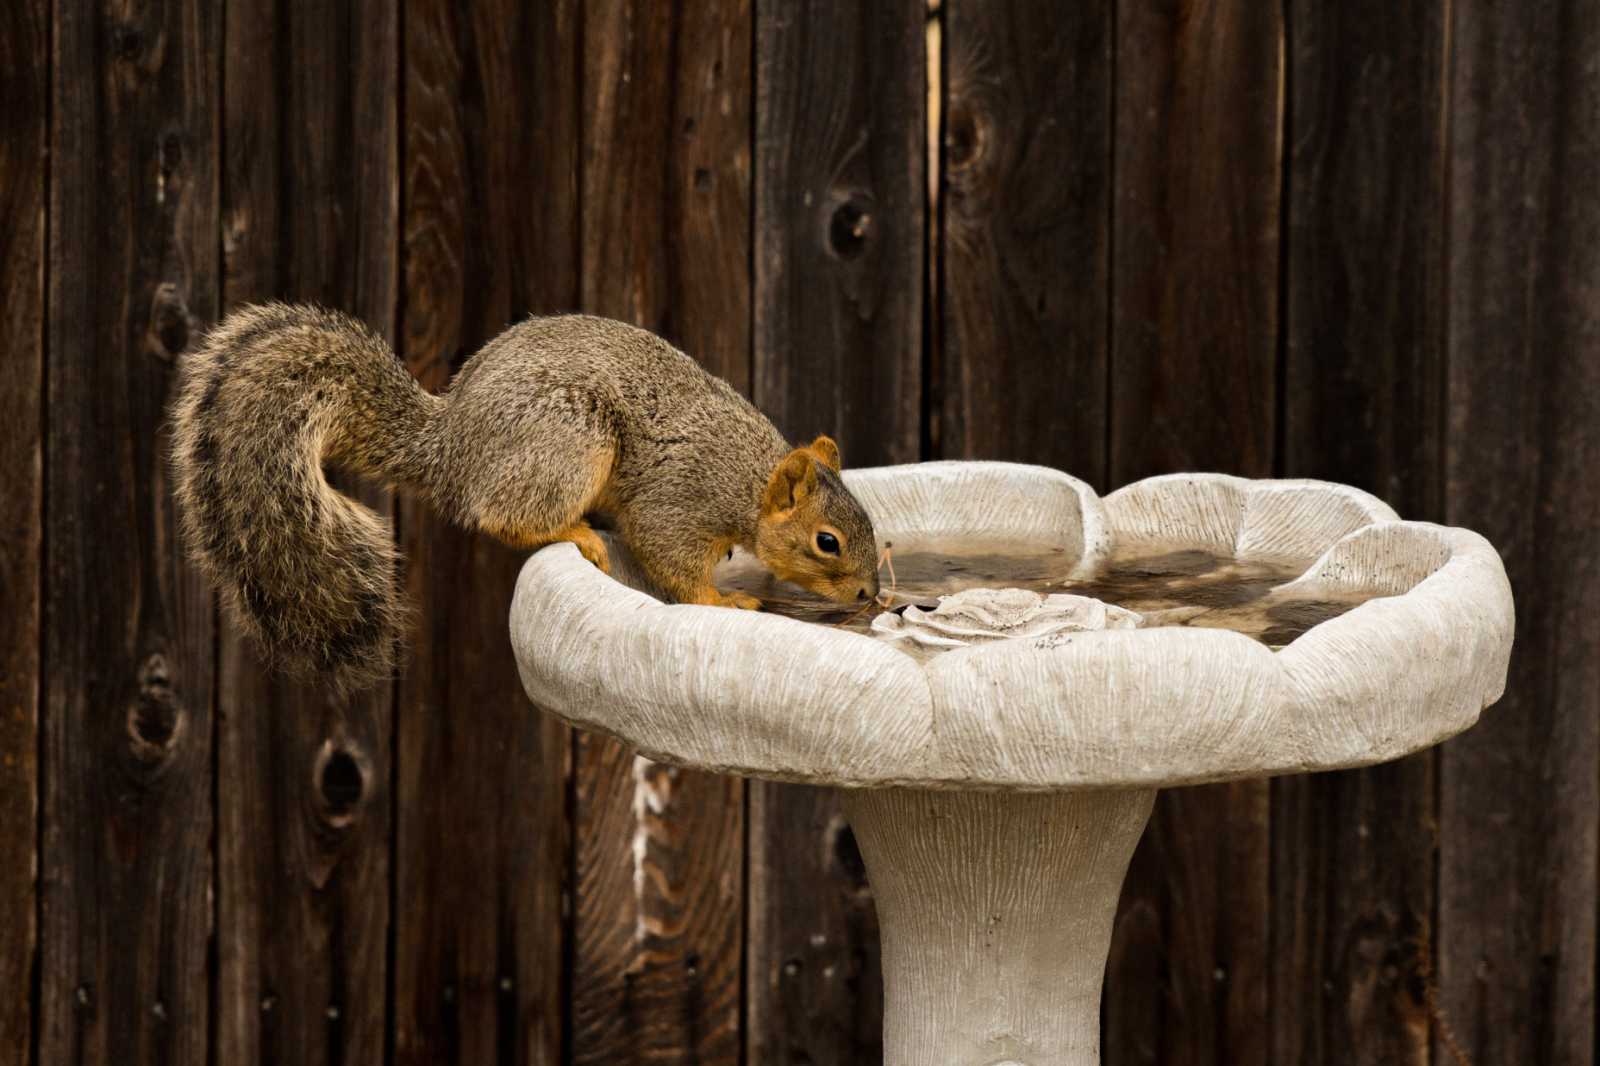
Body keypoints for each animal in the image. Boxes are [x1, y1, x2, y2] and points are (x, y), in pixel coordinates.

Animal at [172, 302, 889, 694]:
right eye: (827, 542)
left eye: (872, 528)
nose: (868, 595)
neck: (745, 480)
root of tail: (453, 448)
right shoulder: (680, 499)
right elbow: (673, 562)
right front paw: (726, 600)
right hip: (566, 440)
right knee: (503, 516)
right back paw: (574, 532)